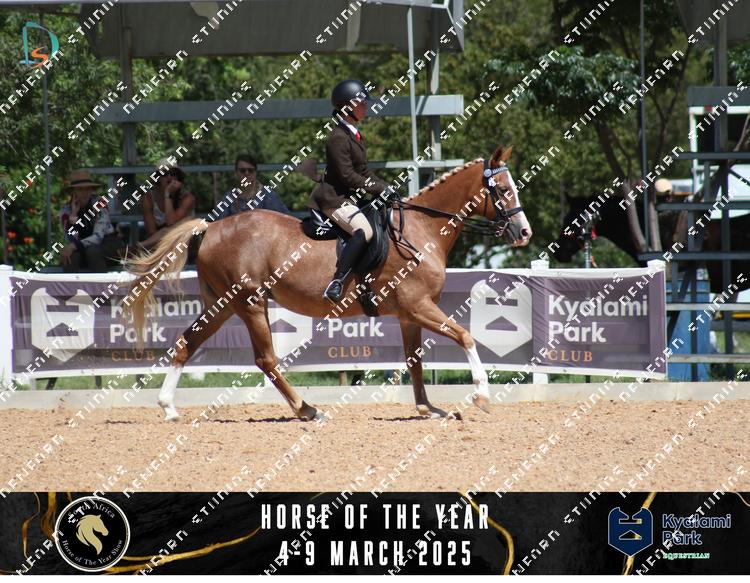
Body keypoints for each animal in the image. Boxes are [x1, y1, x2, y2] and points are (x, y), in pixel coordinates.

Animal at [125, 145, 532, 422]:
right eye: (503, 191)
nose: (524, 233)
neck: (421, 229)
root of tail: (209, 228)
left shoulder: (408, 315)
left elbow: (415, 360)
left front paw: (427, 408)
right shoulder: (419, 306)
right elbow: (465, 336)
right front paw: (481, 395)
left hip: (222, 304)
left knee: (187, 342)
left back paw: (168, 407)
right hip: (249, 302)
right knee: (266, 359)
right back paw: (307, 409)